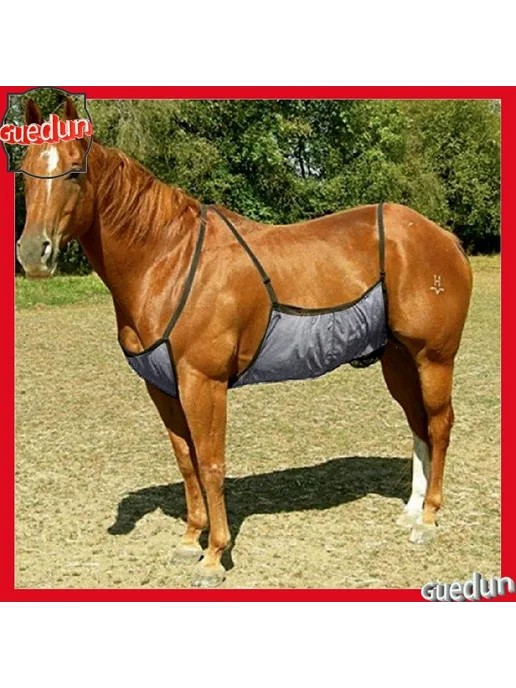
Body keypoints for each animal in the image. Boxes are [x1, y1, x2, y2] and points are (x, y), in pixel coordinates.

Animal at [16, 97, 473, 588]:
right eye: (24, 170)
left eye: (74, 172)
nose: (33, 253)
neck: (169, 260)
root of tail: (443, 236)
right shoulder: (163, 387)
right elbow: (186, 460)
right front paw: (189, 541)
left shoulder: (204, 382)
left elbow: (211, 463)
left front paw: (215, 555)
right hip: (399, 361)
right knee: (419, 426)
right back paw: (412, 511)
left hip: (434, 358)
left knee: (439, 426)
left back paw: (429, 519)